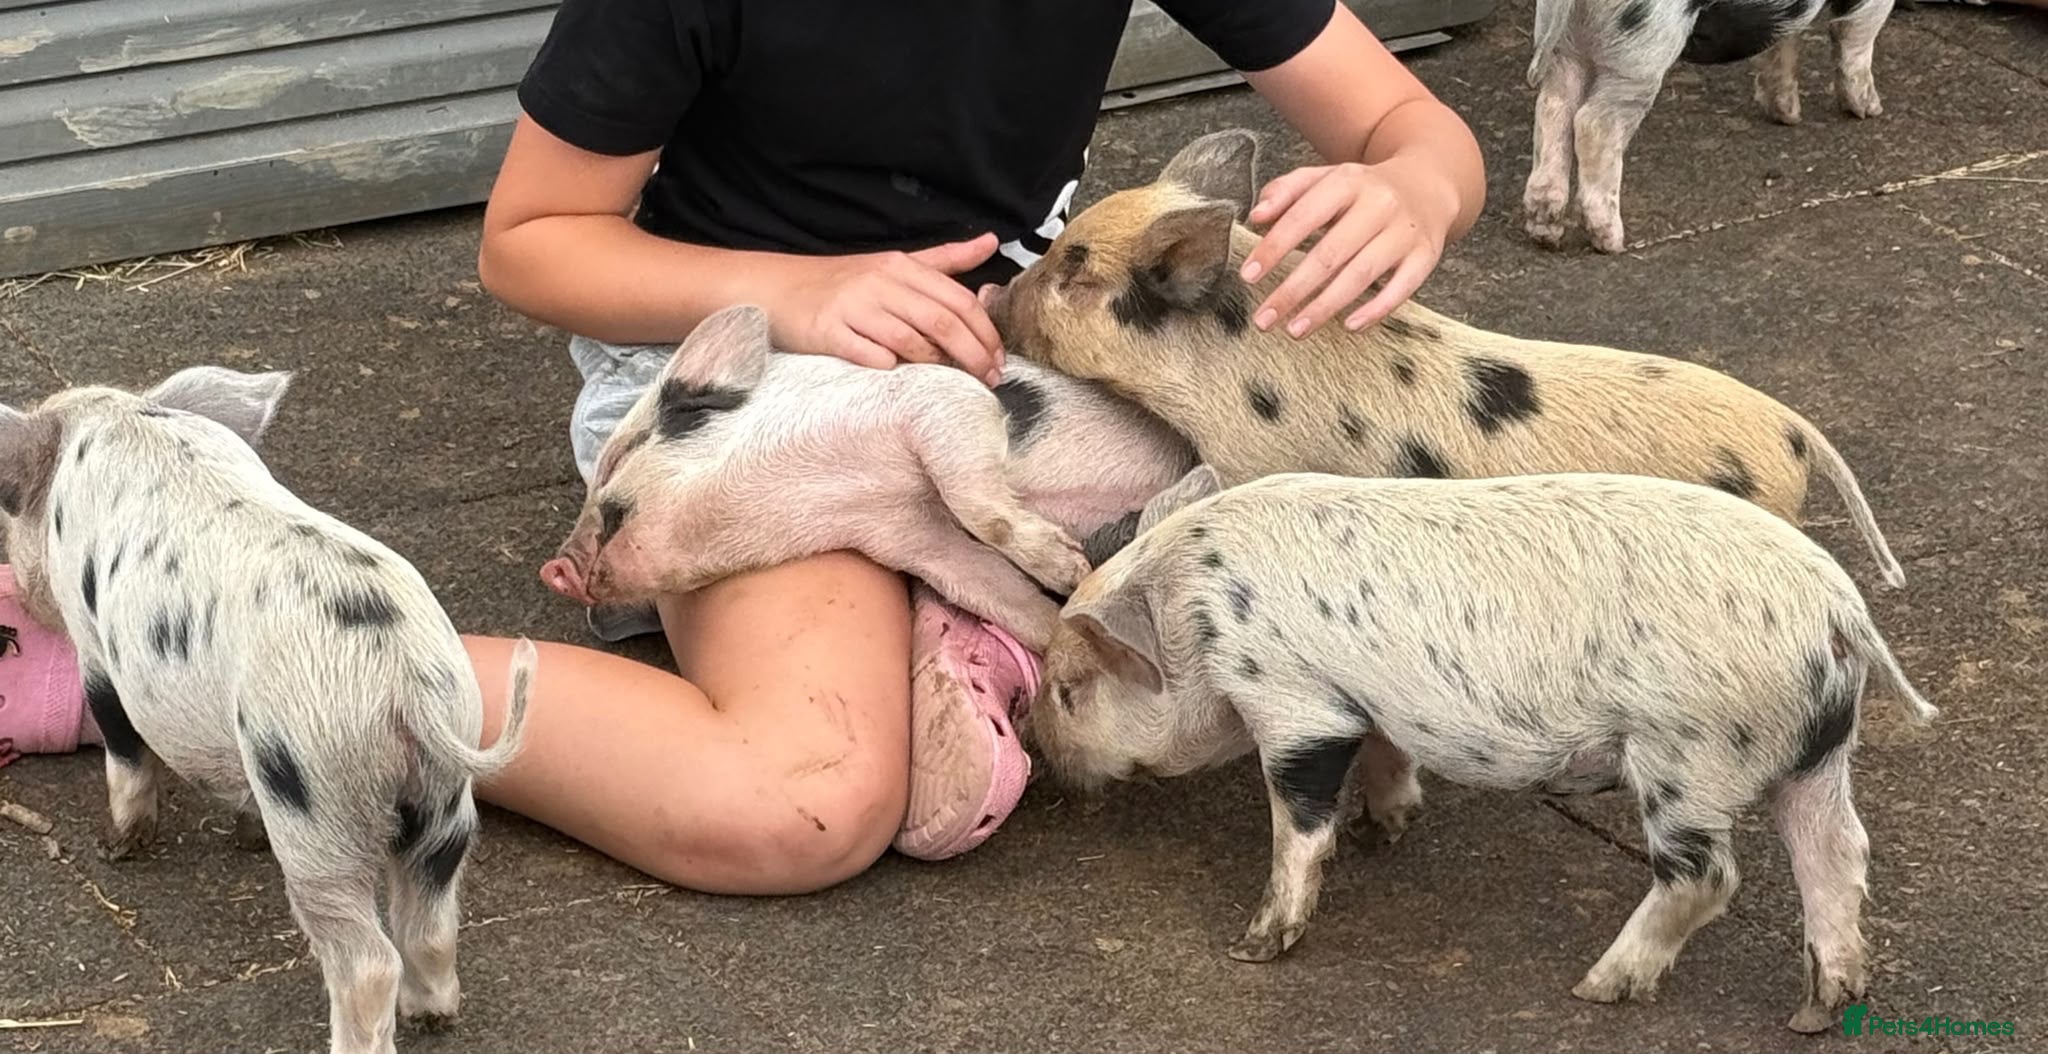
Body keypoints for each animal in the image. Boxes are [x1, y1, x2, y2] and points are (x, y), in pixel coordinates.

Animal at [0, 367, 536, 1054]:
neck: (117, 419)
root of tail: (402, 686)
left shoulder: (97, 646)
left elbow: (124, 747)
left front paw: (116, 847)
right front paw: (243, 836)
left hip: (317, 802)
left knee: (367, 960)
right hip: (445, 794)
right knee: (432, 918)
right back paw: (433, 1016)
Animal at [540, 303, 1197, 652]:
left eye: (615, 459)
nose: (553, 569)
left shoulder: (937, 397)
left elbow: (976, 501)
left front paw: (1068, 569)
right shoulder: (905, 536)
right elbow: (983, 584)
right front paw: (1061, 622)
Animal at [1027, 469, 1936, 1033]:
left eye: (1070, 688)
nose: (1039, 751)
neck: (1196, 616)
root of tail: (1838, 610)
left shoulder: (1292, 699)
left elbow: (1300, 824)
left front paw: (1254, 946)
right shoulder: (1365, 703)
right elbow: (1385, 755)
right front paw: (1385, 829)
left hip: (1691, 750)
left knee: (1711, 875)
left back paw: (1596, 988)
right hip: (1817, 751)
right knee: (1839, 852)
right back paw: (1817, 1011)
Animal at [1523, 0, 1894, 251]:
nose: (1875, 111)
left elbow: (1784, 41)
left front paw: (1787, 115)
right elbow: (1856, 33)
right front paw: (1868, 109)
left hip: (1568, 46)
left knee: (1554, 107)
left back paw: (1545, 230)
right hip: (1640, 53)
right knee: (1593, 124)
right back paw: (1612, 241)